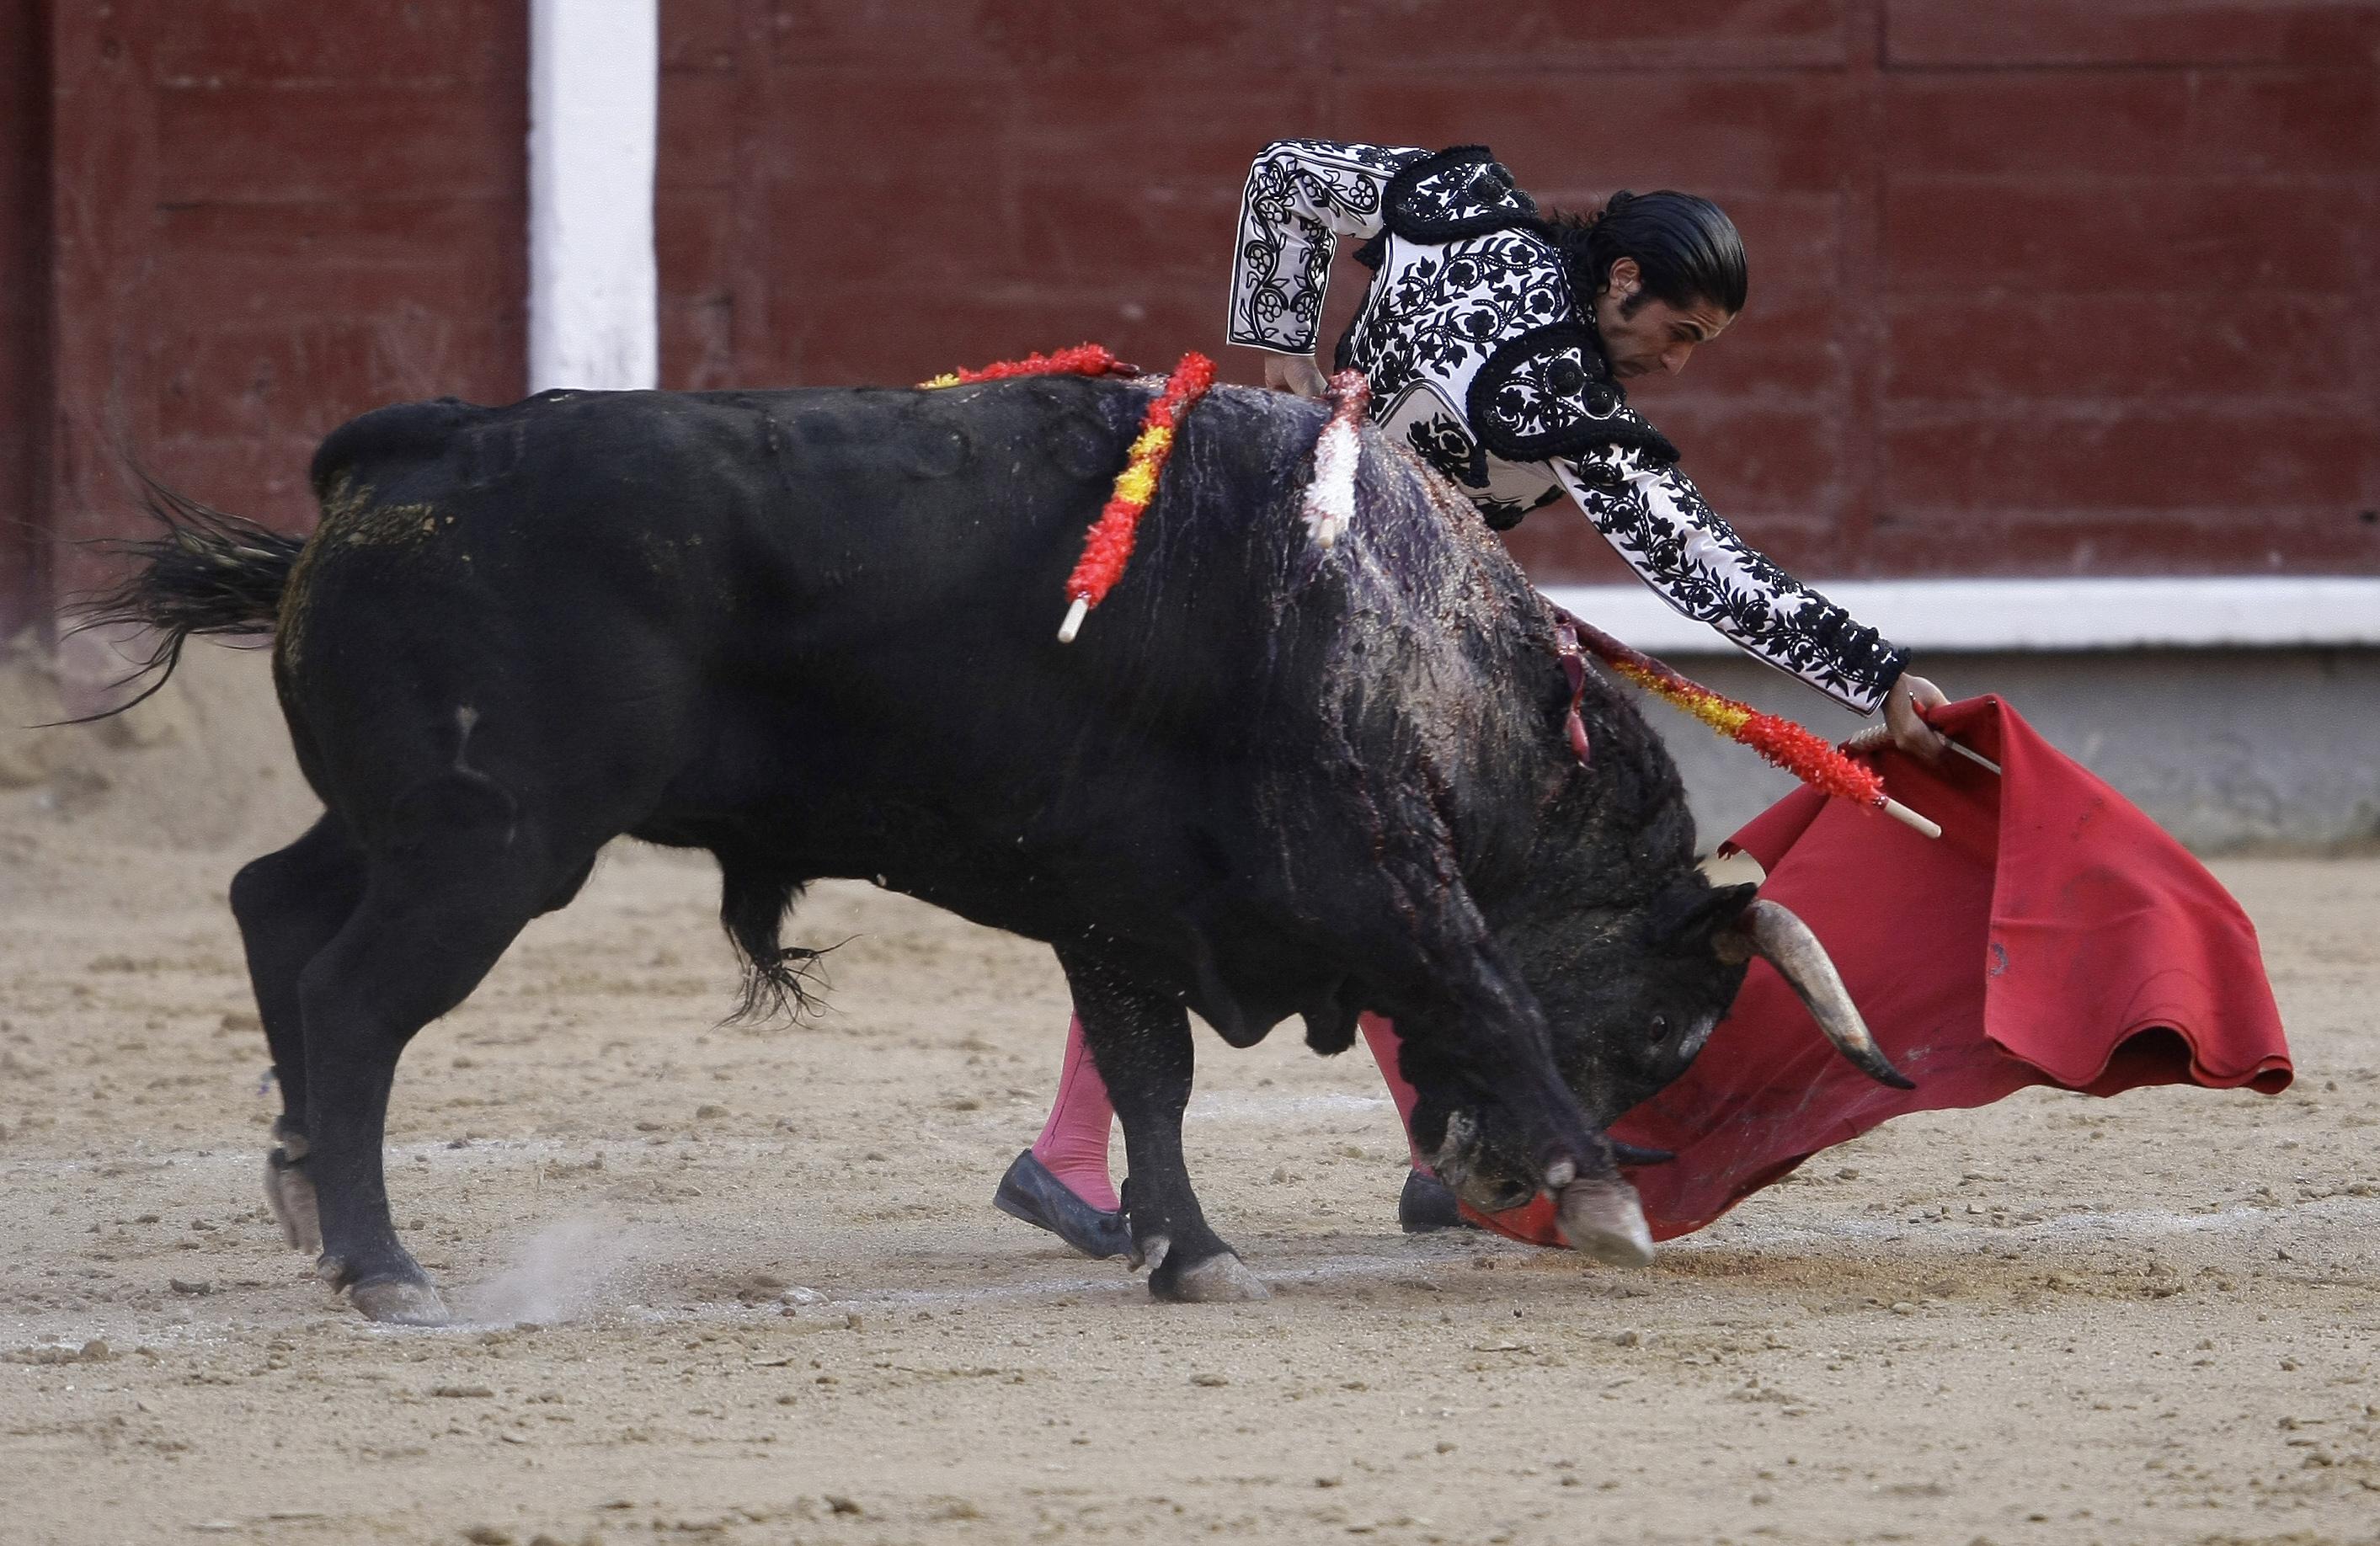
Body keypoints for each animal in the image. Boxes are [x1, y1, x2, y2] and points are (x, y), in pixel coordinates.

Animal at [93, 365, 1903, 1322]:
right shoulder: (1368, 877)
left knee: (275, 907)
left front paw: (1188, 1251)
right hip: (493, 849)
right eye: (1664, 1033)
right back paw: (383, 1262)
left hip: (412, 827)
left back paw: (304, 1195)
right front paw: (1606, 1201)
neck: (1421, 641)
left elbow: (1153, 1071)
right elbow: (1488, 995)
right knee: (353, 998)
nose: (1486, 1183)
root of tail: (408, 446)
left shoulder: (1123, 909)